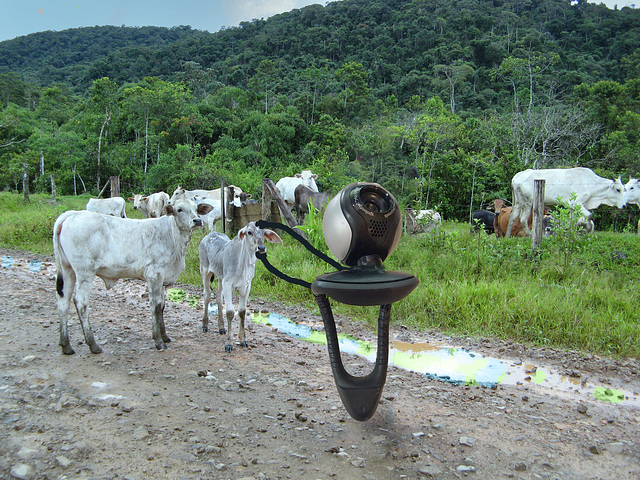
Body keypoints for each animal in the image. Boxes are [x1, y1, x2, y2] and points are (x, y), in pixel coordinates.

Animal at [52, 197, 212, 354]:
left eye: (196, 208)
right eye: (179, 209)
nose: (197, 220)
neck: (172, 237)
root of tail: (72, 214)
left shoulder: (161, 279)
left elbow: (162, 306)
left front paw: (165, 336)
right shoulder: (154, 275)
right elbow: (155, 306)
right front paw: (158, 341)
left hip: (67, 269)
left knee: (63, 301)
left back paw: (66, 345)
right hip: (85, 271)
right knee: (81, 302)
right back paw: (93, 344)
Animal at [199, 222, 282, 352]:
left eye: (264, 233)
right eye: (249, 232)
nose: (261, 248)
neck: (244, 265)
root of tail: (209, 235)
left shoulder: (246, 286)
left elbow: (242, 311)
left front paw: (243, 340)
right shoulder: (228, 285)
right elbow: (230, 312)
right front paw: (229, 343)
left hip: (220, 278)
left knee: (218, 296)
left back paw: (221, 327)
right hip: (205, 271)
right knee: (207, 295)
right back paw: (205, 324)